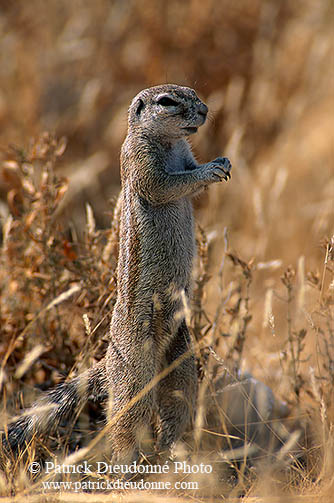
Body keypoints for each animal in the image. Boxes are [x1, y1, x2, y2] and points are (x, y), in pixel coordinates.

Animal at [1, 83, 232, 464]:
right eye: (167, 101)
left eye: (194, 93)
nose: (204, 110)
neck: (170, 142)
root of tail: (109, 360)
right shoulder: (141, 163)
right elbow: (169, 184)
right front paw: (211, 169)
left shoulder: (184, 154)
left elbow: (189, 173)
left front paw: (223, 162)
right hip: (136, 369)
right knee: (126, 417)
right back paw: (127, 462)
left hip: (181, 357)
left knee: (176, 401)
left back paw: (173, 451)